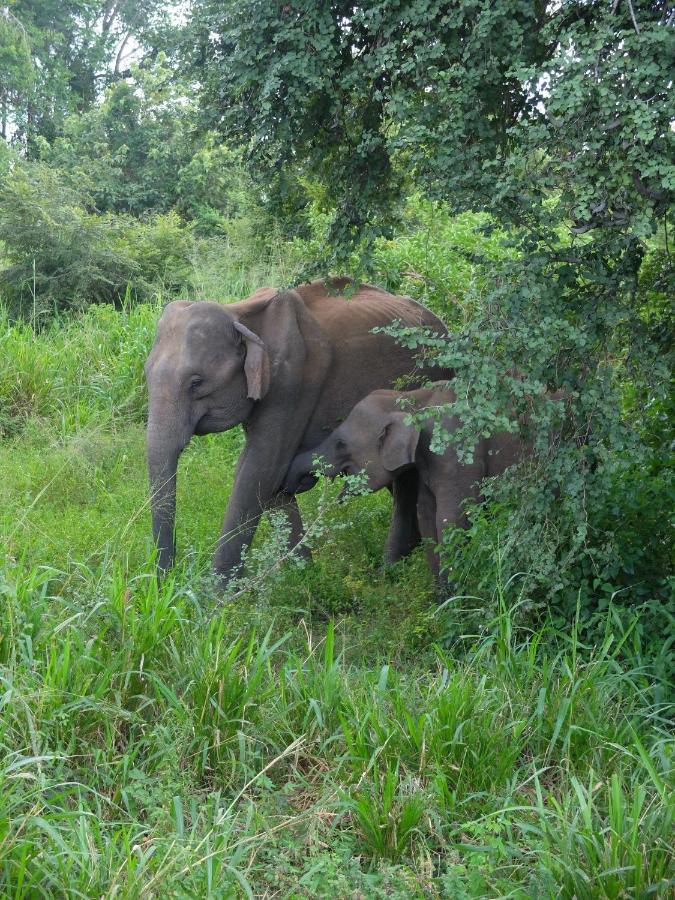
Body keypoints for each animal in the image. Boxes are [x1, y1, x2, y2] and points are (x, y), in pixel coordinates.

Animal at [147, 278, 452, 580]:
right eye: (146, 376)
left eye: (196, 383)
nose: (167, 582)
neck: (239, 313)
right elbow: (269, 476)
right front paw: (304, 576)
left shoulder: (291, 381)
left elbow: (258, 469)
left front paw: (216, 592)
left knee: (404, 479)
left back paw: (392, 565)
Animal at [282, 384, 532, 584]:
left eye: (340, 444)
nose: (295, 481)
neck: (411, 398)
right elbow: (427, 518)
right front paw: (441, 599)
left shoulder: (458, 454)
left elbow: (451, 519)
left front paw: (455, 602)